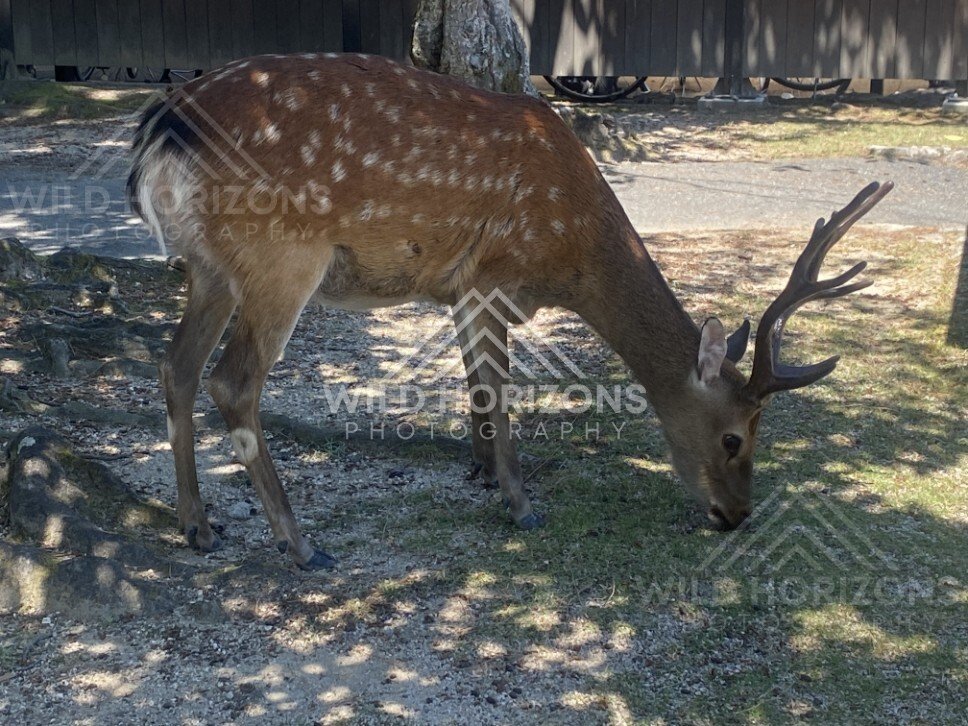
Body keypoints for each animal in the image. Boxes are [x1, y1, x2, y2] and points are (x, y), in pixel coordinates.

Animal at [127, 52, 892, 570]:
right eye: (734, 437)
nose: (735, 515)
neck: (572, 251)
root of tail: (161, 130)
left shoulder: (459, 286)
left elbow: (474, 385)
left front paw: (483, 473)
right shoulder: (495, 273)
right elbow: (499, 388)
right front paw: (522, 505)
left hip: (211, 266)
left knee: (175, 367)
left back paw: (198, 526)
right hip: (280, 254)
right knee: (233, 381)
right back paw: (299, 543)